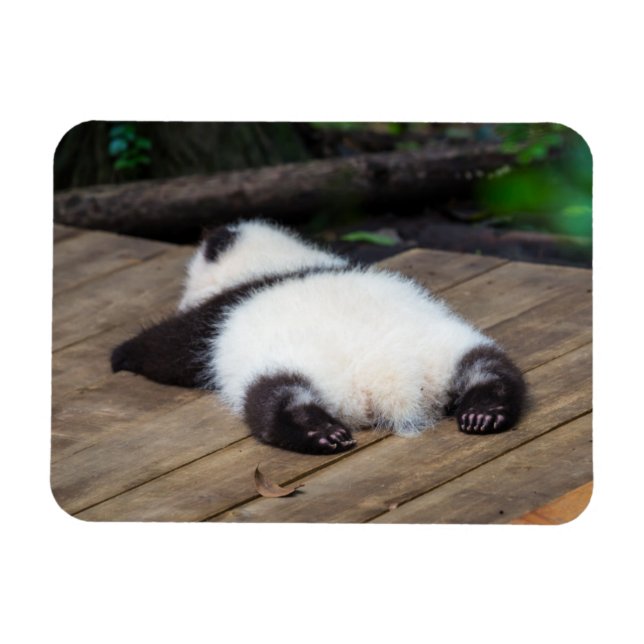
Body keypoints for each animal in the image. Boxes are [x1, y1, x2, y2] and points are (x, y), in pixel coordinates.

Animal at [111, 220, 525, 454]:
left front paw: (121, 355)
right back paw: (484, 411)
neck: (277, 262)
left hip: (286, 366)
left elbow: (169, 349)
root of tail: (390, 381)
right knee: (491, 368)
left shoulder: (216, 316)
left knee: (273, 398)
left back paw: (318, 432)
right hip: (448, 347)